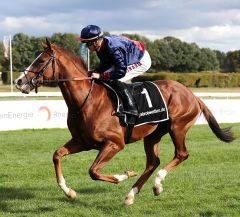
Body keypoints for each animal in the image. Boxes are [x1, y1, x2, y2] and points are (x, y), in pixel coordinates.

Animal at [14, 39, 234, 205]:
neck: (87, 100)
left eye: (41, 60)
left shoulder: (115, 143)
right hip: (153, 134)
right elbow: (57, 155)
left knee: (181, 154)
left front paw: (124, 175)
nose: (18, 81)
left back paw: (157, 184)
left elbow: (93, 171)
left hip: (177, 126)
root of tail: (192, 94)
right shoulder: (82, 142)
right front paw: (69, 192)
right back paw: (131, 195)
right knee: (153, 162)